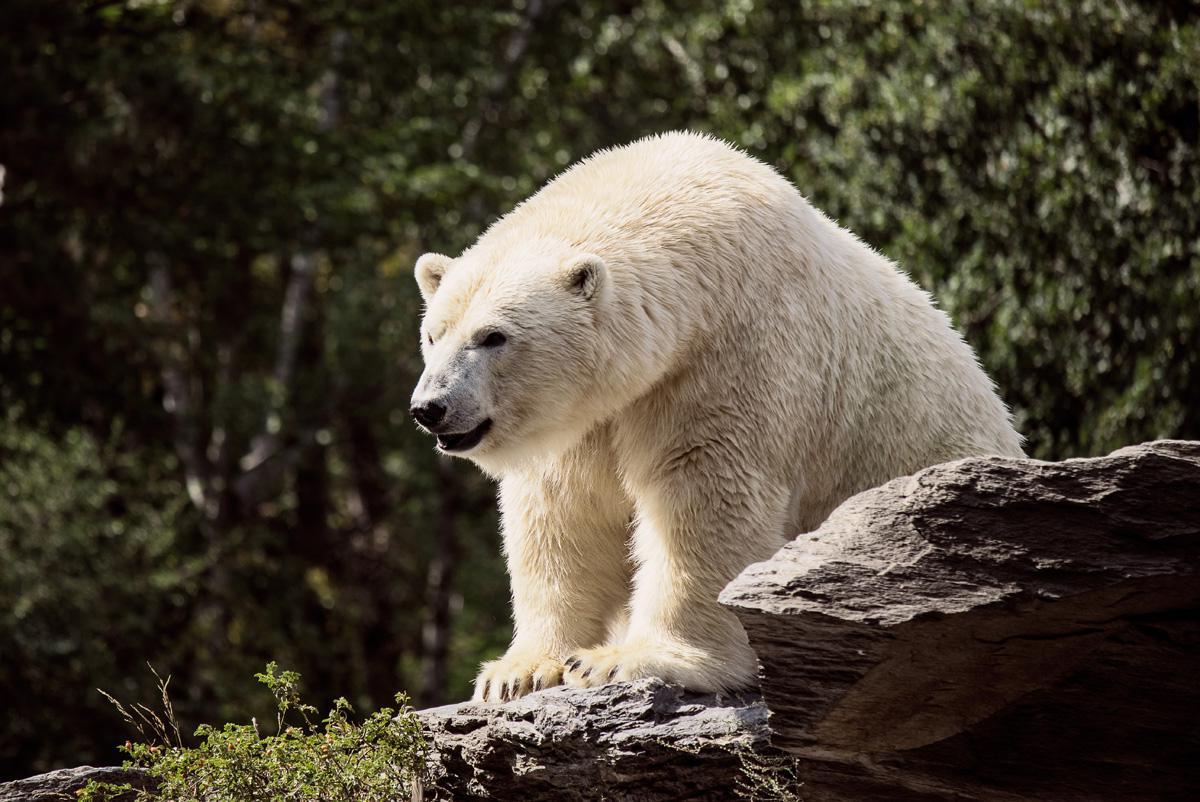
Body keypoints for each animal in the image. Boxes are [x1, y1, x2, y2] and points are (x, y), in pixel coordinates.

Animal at [409, 131, 1024, 703]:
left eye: (494, 336)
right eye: (434, 334)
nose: (430, 408)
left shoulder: (733, 351)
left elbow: (704, 493)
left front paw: (628, 661)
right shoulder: (590, 414)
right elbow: (562, 511)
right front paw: (518, 672)